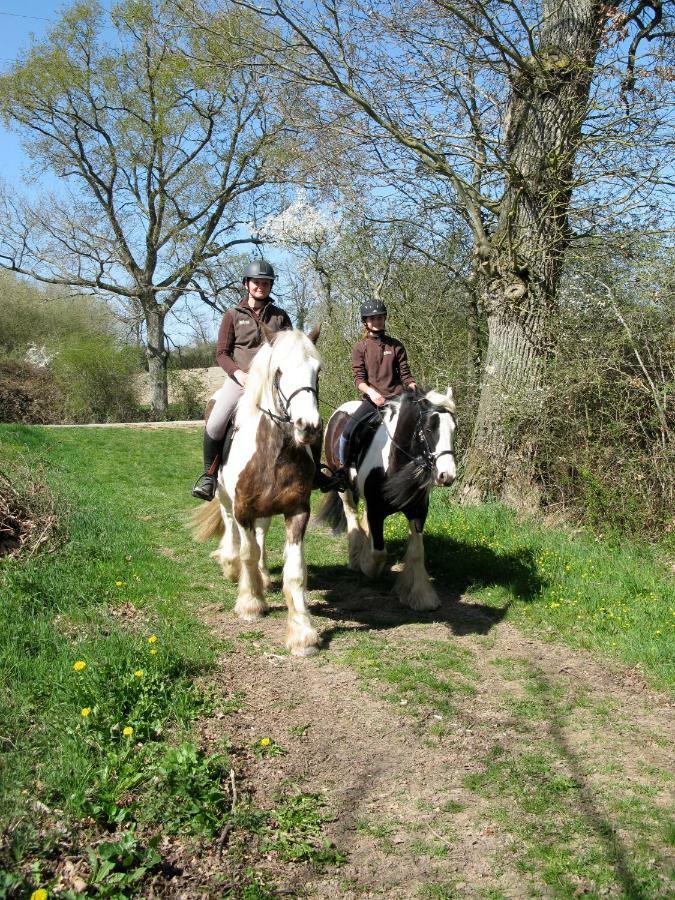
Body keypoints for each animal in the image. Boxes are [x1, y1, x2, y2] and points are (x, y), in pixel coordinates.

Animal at [191, 326, 324, 656]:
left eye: (318, 370)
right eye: (279, 371)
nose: (309, 426)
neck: (274, 451)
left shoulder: (297, 510)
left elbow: (295, 571)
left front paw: (302, 633)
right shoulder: (243, 508)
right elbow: (248, 553)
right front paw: (251, 604)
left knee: (261, 534)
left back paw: (263, 576)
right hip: (225, 499)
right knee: (232, 530)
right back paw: (230, 565)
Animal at [318, 386, 456, 612]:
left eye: (454, 428)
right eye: (428, 429)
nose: (447, 476)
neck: (393, 461)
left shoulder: (418, 511)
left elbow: (417, 551)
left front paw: (420, 596)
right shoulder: (376, 511)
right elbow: (379, 553)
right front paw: (366, 564)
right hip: (344, 487)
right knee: (351, 515)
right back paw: (355, 557)